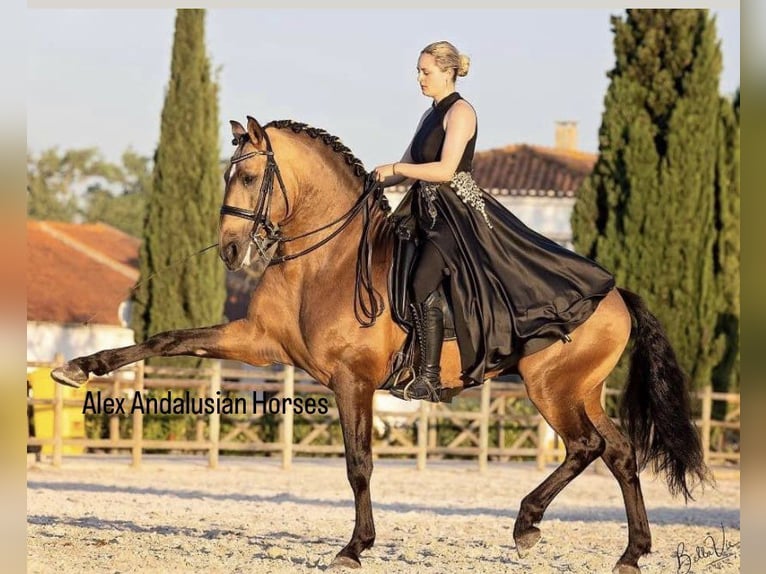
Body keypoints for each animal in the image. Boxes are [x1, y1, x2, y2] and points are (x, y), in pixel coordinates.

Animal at [54, 115, 712, 572]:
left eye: (248, 175)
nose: (233, 251)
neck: (323, 262)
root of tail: (614, 292)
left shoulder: (354, 379)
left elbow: (358, 464)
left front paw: (354, 546)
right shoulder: (258, 343)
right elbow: (169, 337)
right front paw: (80, 367)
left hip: (551, 386)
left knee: (586, 447)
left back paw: (530, 525)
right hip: (580, 389)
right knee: (619, 452)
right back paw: (631, 551)